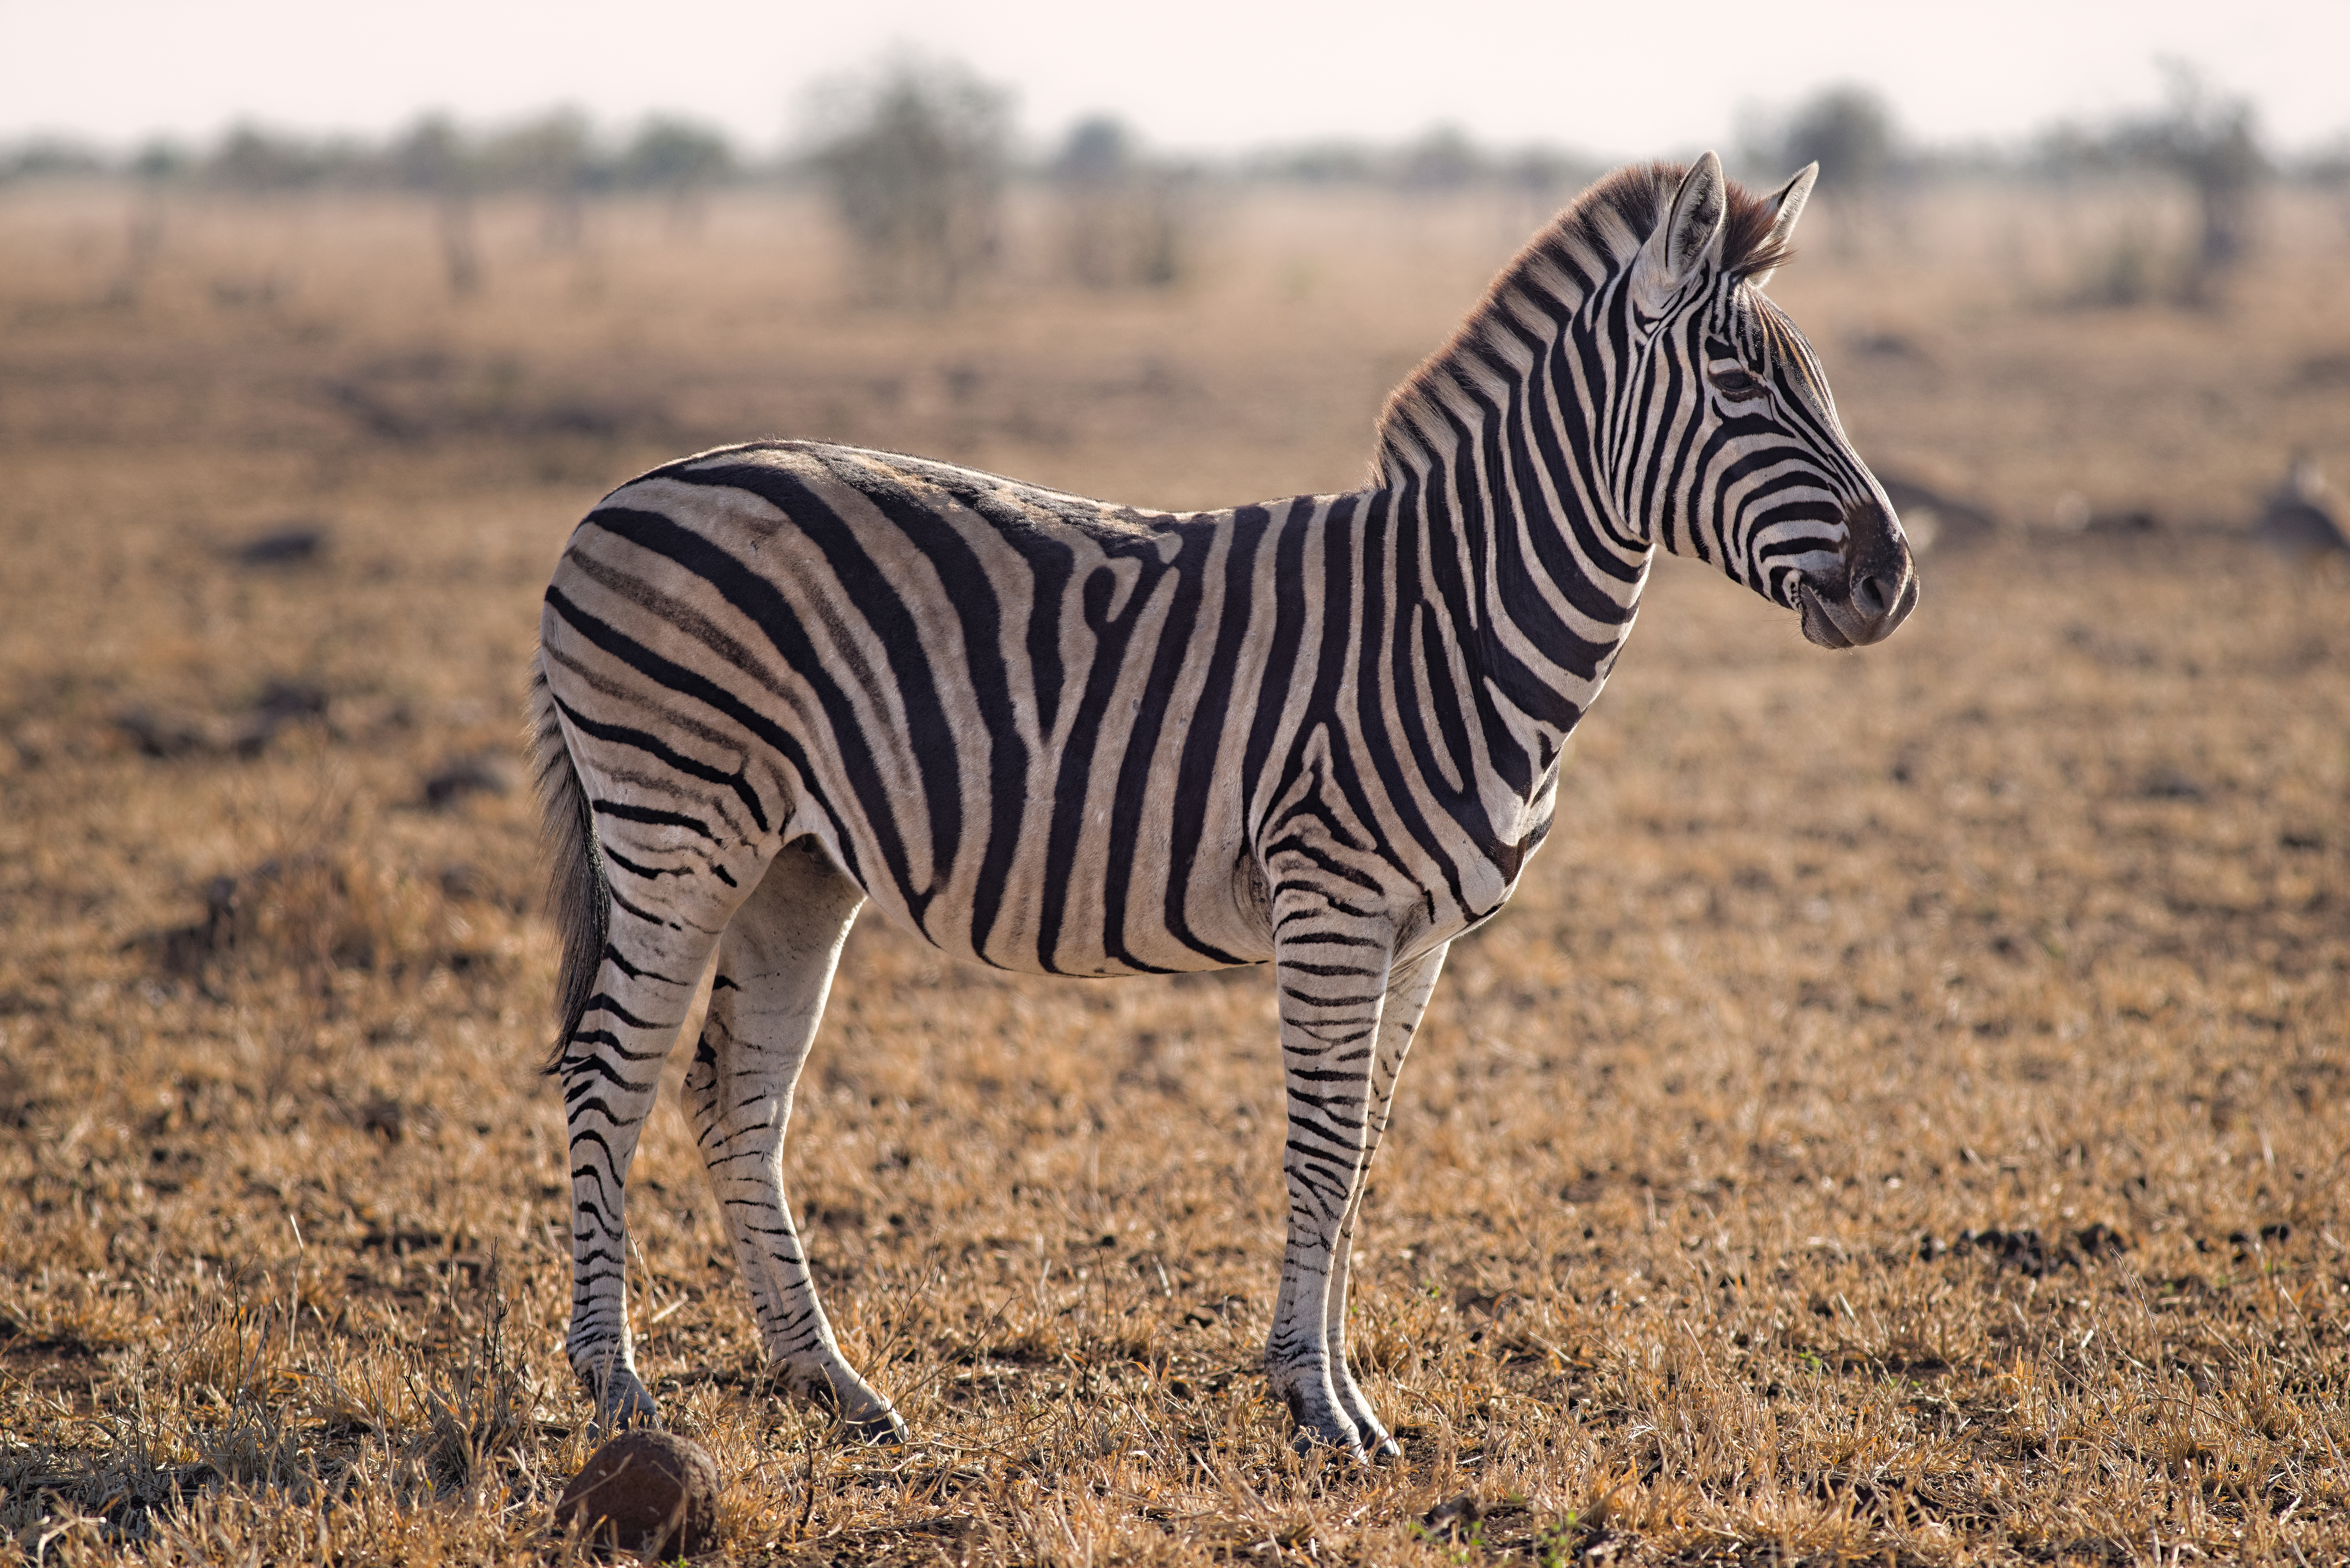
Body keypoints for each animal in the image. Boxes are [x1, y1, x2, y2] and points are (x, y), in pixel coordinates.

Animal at [540, 150, 1917, 1457]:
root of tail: (618, 498)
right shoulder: (1334, 899)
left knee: (735, 1090)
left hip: (795, 864)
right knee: (609, 1074)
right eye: (1739, 386)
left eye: (1820, 383)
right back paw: (616, 1385)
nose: (1893, 581)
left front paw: (1338, 1390)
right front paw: (1318, 1404)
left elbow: (1362, 1152)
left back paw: (830, 1383)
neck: (1456, 618)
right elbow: (1320, 1149)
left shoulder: (1421, 938)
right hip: (677, 830)